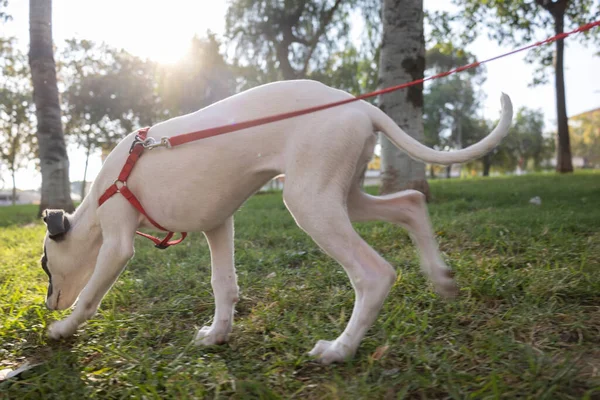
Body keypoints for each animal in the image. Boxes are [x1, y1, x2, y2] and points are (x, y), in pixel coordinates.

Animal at [41, 79, 510, 364]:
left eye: (45, 264)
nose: (46, 304)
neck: (106, 188)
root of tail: (363, 107)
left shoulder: (118, 243)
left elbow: (90, 297)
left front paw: (62, 329)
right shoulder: (218, 225)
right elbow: (223, 285)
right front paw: (218, 335)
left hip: (310, 203)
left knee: (375, 273)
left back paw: (339, 349)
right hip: (341, 195)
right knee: (411, 201)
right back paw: (441, 278)